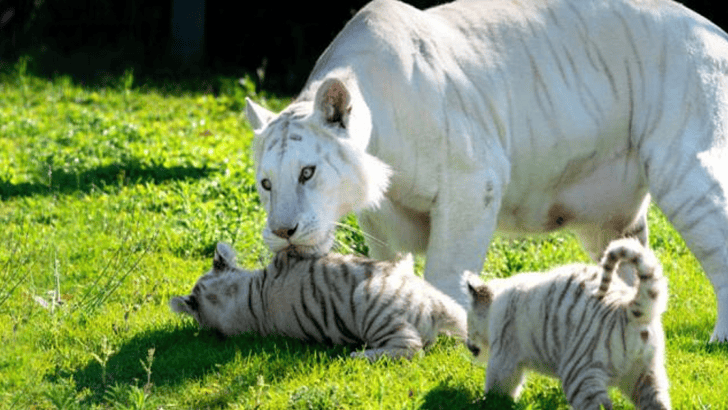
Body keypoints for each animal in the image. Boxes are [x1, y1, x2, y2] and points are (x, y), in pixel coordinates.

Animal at [244, 0, 728, 342]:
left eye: (307, 173)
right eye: (266, 184)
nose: (283, 232)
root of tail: (713, 30)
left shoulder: (472, 184)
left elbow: (444, 271)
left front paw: (449, 333)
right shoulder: (379, 215)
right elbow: (387, 268)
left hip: (684, 168)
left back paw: (718, 339)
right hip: (607, 222)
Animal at [465, 238, 670, 410]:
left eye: (468, 322)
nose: (467, 345)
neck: (494, 306)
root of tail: (626, 309)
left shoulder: (504, 355)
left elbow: (497, 388)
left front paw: (482, 402)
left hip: (580, 375)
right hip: (646, 375)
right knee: (658, 404)